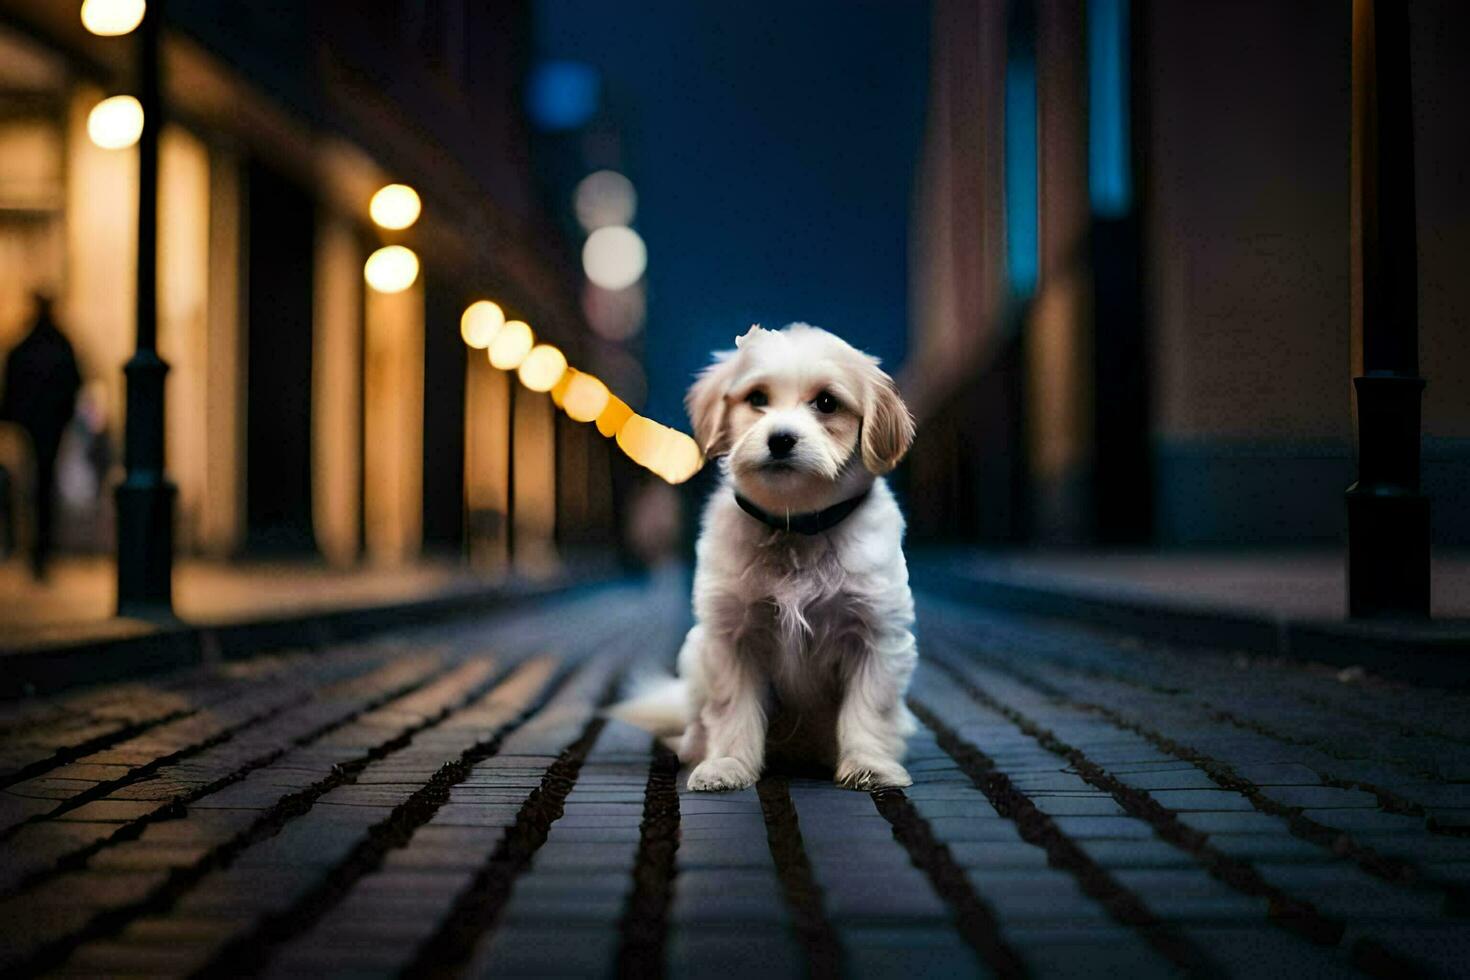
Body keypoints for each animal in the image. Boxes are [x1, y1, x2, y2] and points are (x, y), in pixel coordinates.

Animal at [611, 326, 911, 793]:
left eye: (827, 402)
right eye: (757, 398)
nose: (781, 438)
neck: (795, 526)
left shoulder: (878, 636)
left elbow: (869, 708)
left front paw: (870, 763)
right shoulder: (732, 639)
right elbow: (733, 710)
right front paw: (728, 764)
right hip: (694, 654)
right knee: (698, 724)